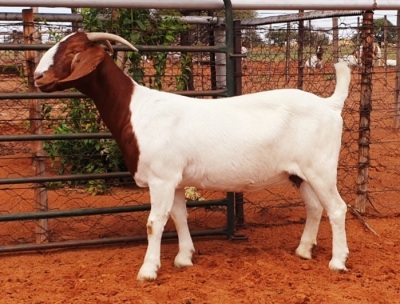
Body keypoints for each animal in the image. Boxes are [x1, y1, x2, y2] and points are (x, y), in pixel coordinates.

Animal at [35, 32, 354, 282]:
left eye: (74, 52)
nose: (38, 77)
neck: (136, 111)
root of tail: (330, 104)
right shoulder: (174, 179)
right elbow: (178, 216)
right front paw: (184, 257)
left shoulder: (161, 178)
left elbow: (154, 222)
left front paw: (148, 270)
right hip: (299, 173)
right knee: (315, 207)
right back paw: (303, 251)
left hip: (321, 168)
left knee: (337, 208)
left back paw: (338, 262)